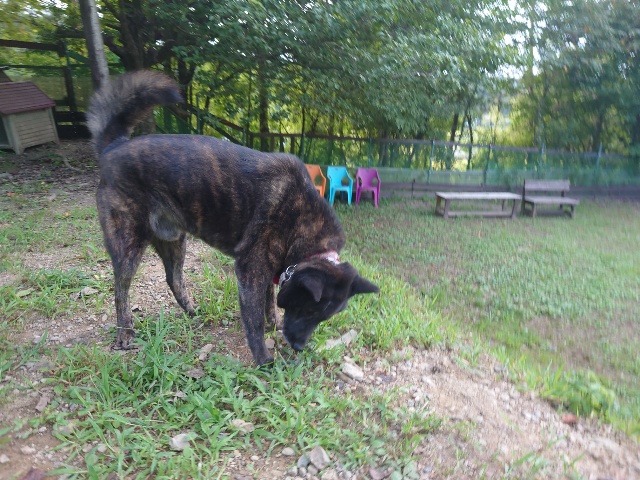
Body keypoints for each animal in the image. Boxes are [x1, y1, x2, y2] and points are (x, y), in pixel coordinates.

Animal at [86, 70, 379, 365]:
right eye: (308, 311)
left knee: (174, 279)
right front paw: (263, 359)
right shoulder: (250, 270)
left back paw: (191, 311)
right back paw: (124, 332)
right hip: (128, 243)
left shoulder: (270, 270)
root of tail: (114, 147)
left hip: (174, 240)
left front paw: (273, 323)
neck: (304, 223)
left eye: (322, 318)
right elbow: (254, 320)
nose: (298, 347)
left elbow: (269, 302)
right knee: (120, 288)